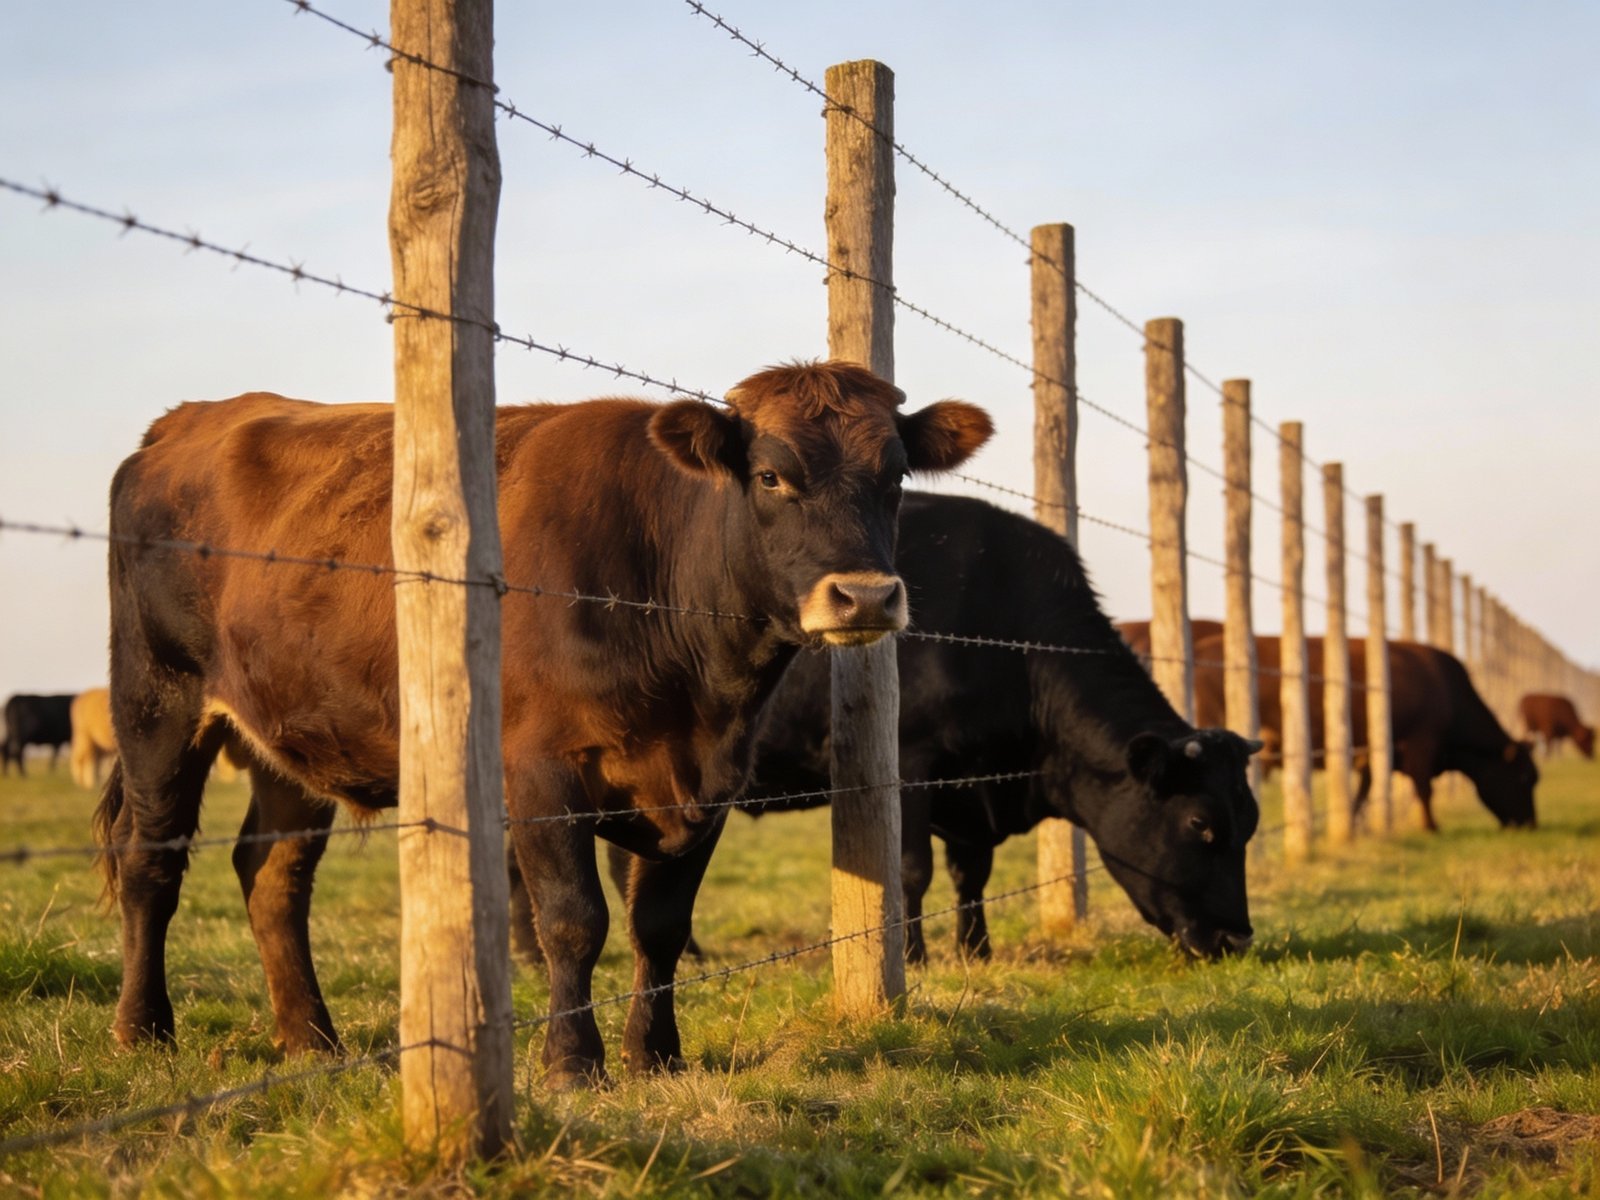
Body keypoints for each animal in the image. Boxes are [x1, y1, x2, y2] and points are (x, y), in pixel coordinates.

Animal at [94, 361, 991, 1087]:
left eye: (895, 475)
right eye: (771, 476)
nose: (865, 596)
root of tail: (184, 421)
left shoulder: (708, 781)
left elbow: (660, 925)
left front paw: (655, 1055)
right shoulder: (540, 769)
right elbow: (572, 919)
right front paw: (573, 1063)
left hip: (289, 733)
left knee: (272, 874)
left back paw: (311, 1039)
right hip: (157, 699)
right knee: (151, 863)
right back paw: (143, 1031)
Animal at [705, 494, 1263, 964]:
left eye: (1251, 823)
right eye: (1199, 823)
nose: (1236, 939)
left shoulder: (974, 785)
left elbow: (971, 872)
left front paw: (977, 951)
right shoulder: (910, 761)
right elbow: (912, 869)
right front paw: (915, 957)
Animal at [1191, 632, 1537, 830]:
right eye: (1524, 778)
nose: (1530, 824)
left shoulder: (1372, 756)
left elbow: (1363, 793)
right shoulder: (1421, 745)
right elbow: (1424, 789)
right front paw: (1430, 826)